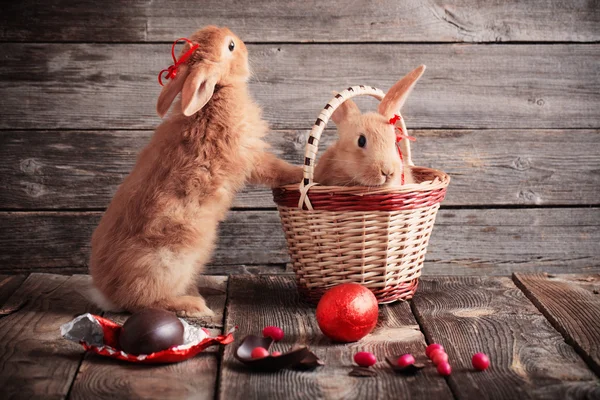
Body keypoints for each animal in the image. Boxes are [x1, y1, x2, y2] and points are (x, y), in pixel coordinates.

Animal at [88, 26, 304, 318]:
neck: (216, 94)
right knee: (142, 301)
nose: (244, 44)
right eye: (231, 46)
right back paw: (193, 306)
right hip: (169, 263)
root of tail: (107, 293)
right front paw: (304, 172)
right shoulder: (251, 156)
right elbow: (277, 168)